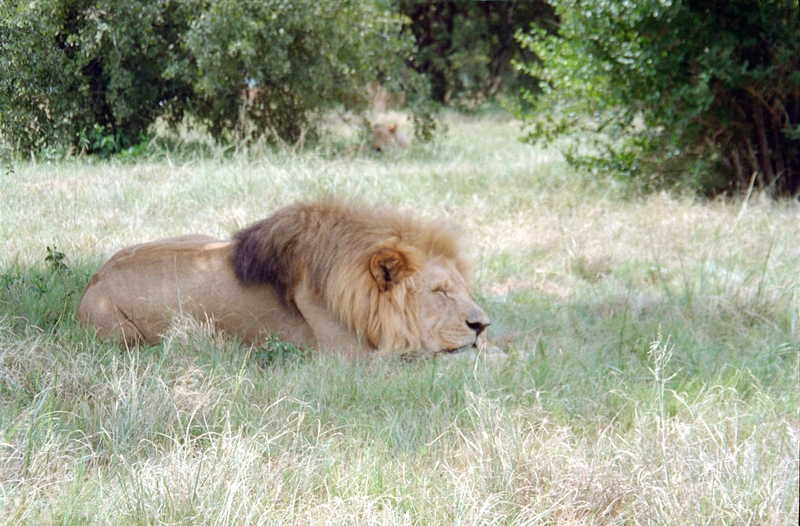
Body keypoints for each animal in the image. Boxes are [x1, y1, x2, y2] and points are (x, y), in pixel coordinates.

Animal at [79, 200, 494, 356]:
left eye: (463, 290)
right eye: (439, 292)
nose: (482, 325)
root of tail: (96, 277)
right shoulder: (352, 356)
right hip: (123, 337)